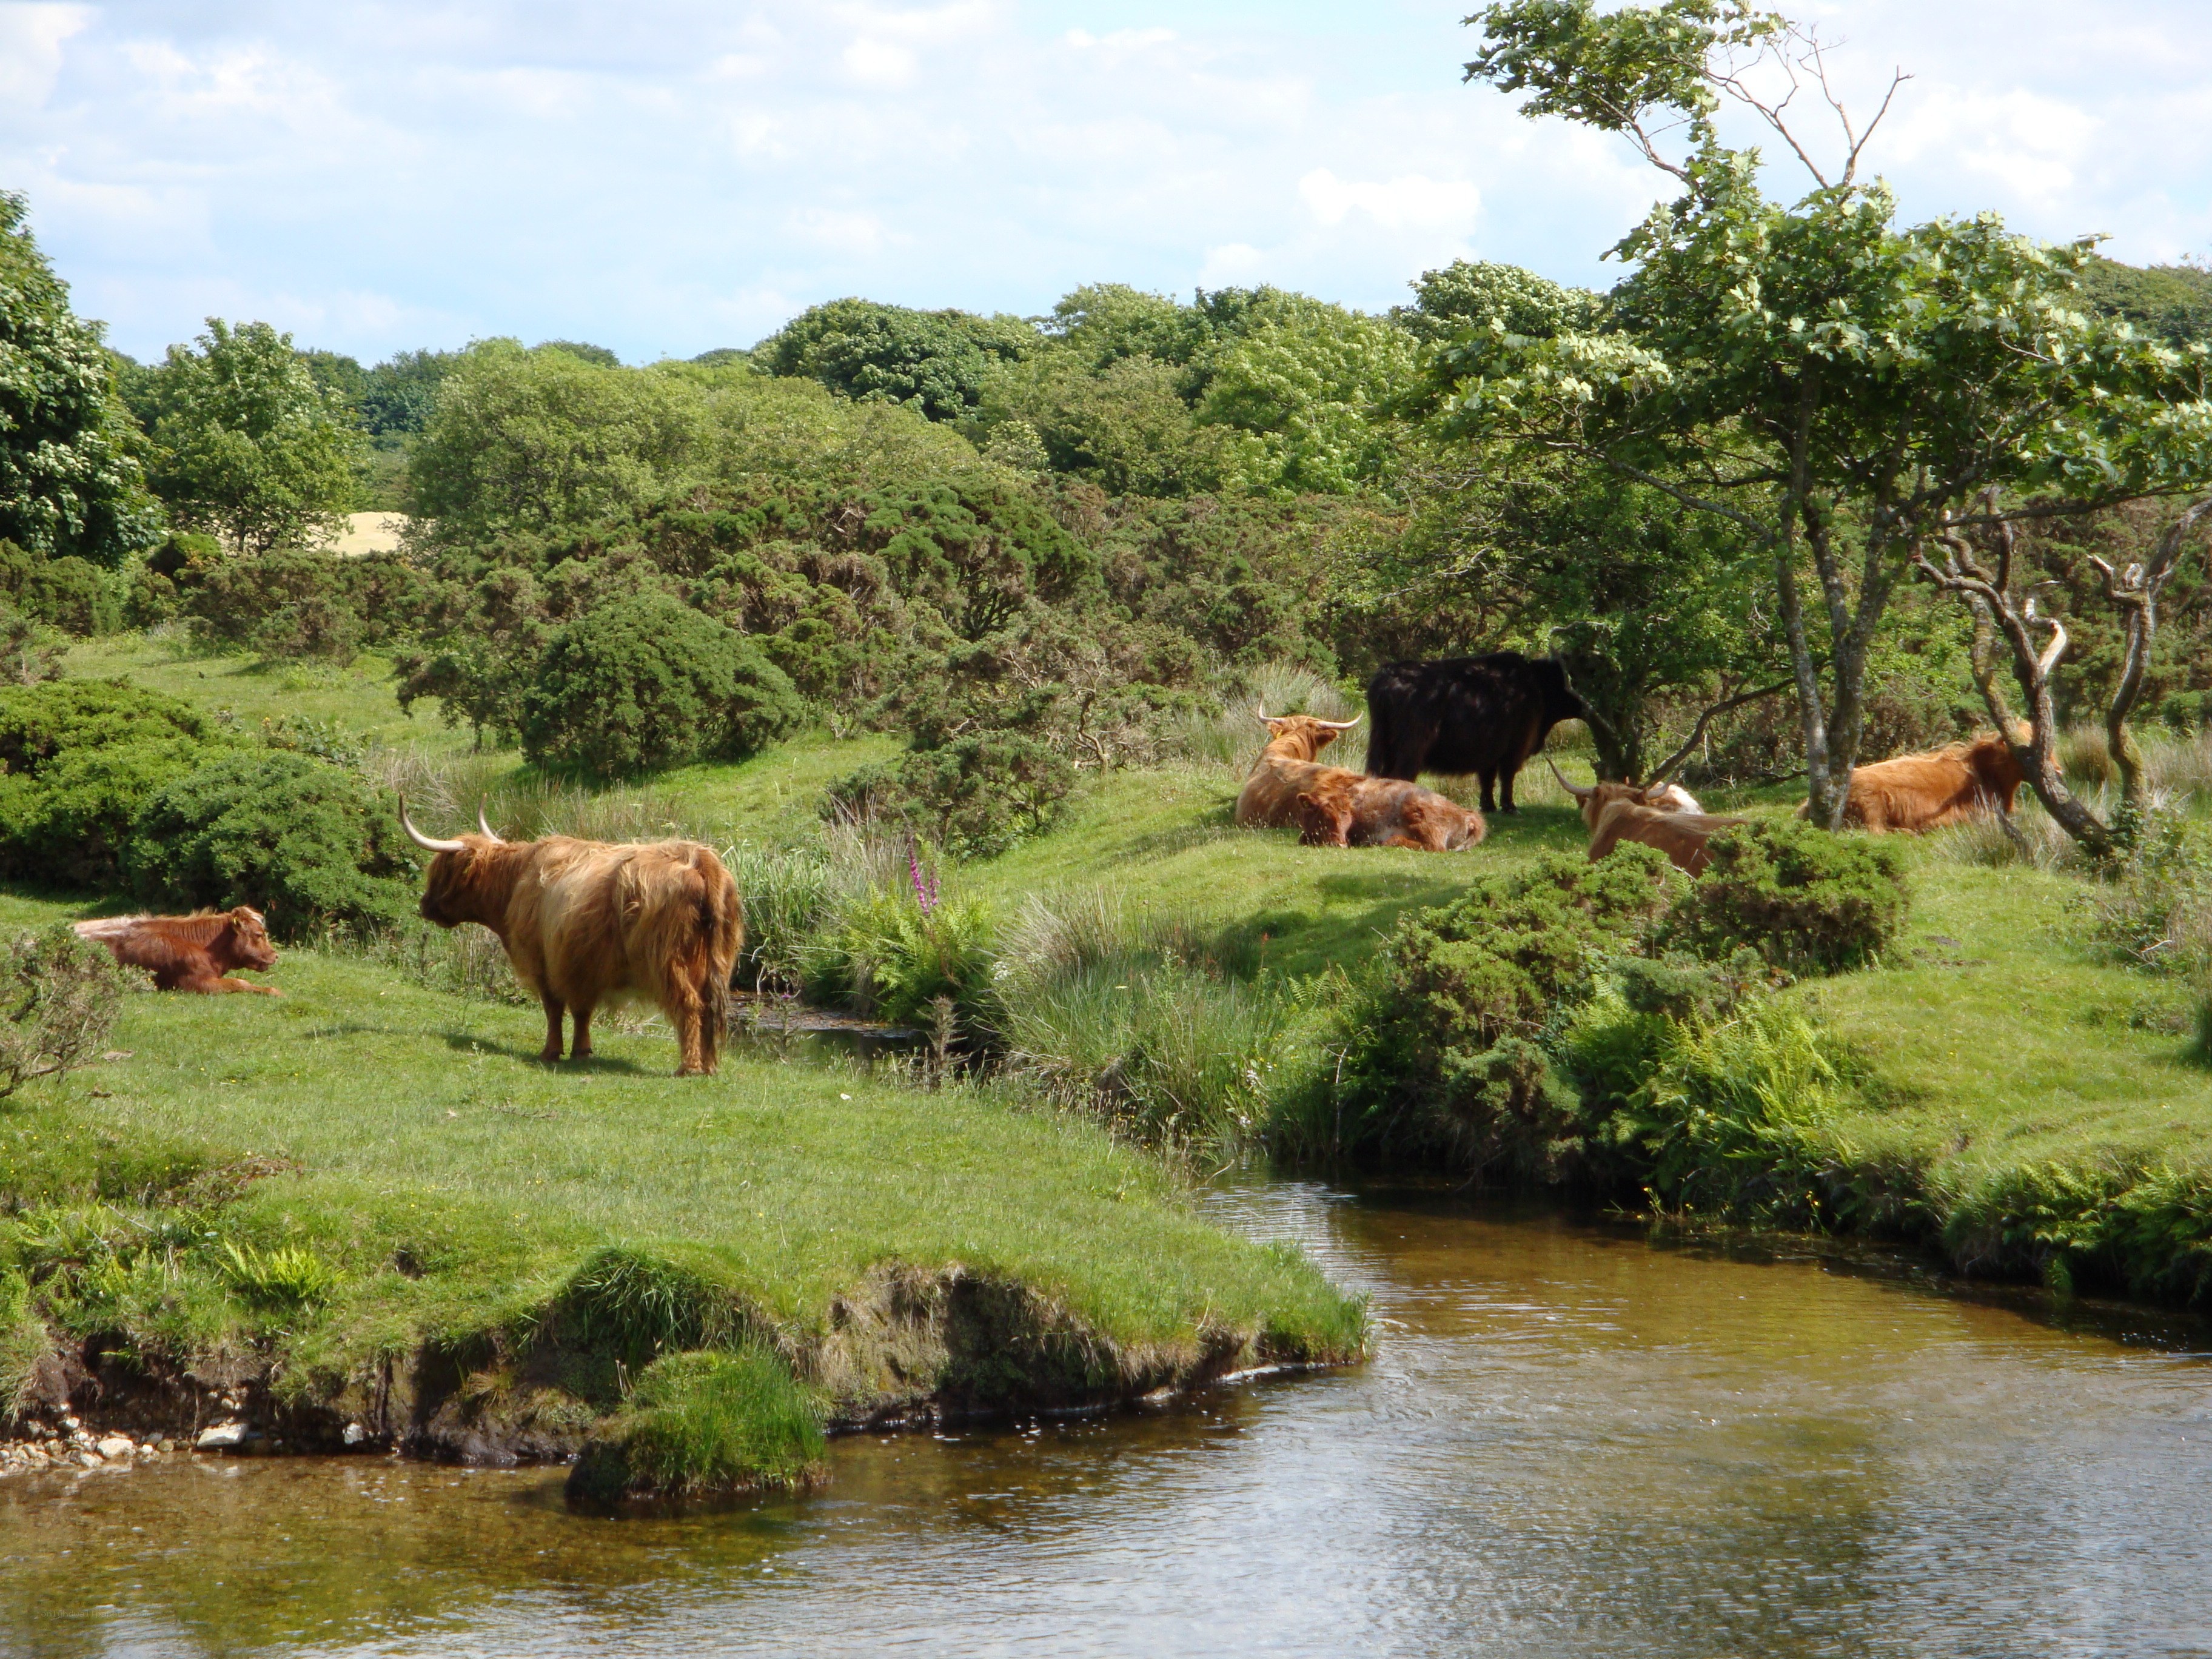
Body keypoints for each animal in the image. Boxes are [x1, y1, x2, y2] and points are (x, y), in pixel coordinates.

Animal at [401, 804, 742, 1076]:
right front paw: (582, 1052)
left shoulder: (544, 963)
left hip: (669, 962)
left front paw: (551, 1052)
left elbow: (554, 1009)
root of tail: (699, 858)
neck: (515, 882)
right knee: (712, 1009)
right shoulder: (581, 966)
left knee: (691, 1006)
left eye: (441, 871)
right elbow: (582, 1012)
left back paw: (689, 1067)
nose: (424, 905)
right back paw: (710, 1066)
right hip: (718, 964)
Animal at [1365, 652, 1587, 814]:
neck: (1538, 684)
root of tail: (1389, 674)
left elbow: (1487, 780)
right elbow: (1507, 777)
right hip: (1411, 749)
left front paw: (1488, 807)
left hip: (1381, 744)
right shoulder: (1516, 747)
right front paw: (1510, 808)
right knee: (1399, 776)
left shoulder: (1490, 752)